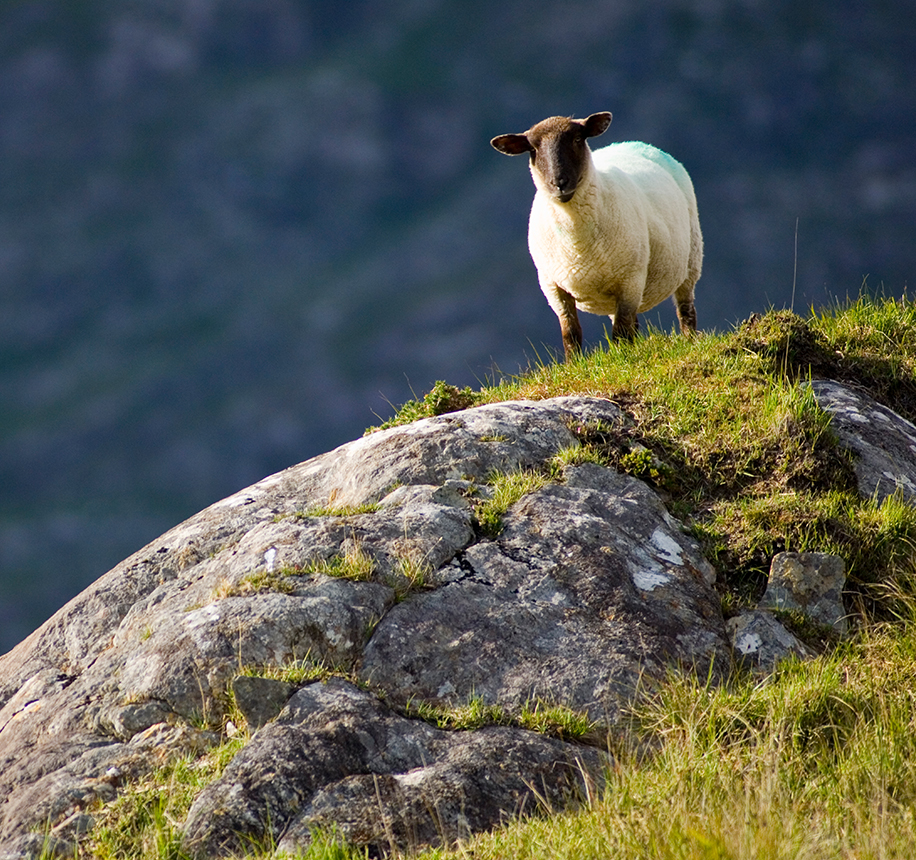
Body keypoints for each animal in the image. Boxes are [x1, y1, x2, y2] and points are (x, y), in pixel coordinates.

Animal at [494, 111, 700, 360]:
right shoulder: (553, 287)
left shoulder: (630, 279)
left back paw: (689, 339)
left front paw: (623, 359)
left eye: (577, 139)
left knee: (685, 308)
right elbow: (571, 333)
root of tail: (633, 143)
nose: (559, 183)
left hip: (691, 260)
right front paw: (573, 363)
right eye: (532, 149)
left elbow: (620, 333)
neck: (577, 243)